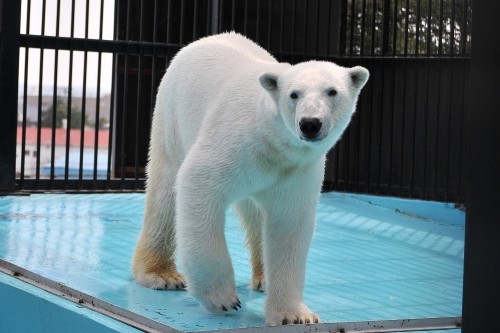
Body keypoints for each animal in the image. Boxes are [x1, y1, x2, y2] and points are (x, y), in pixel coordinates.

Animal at [132, 32, 368, 326]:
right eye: (294, 94)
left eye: (332, 91)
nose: (310, 123)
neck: (272, 141)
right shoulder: (235, 142)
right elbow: (198, 183)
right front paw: (222, 298)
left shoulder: (296, 170)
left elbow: (288, 225)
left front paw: (294, 315)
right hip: (171, 117)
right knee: (165, 189)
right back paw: (160, 274)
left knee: (256, 216)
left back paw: (263, 278)